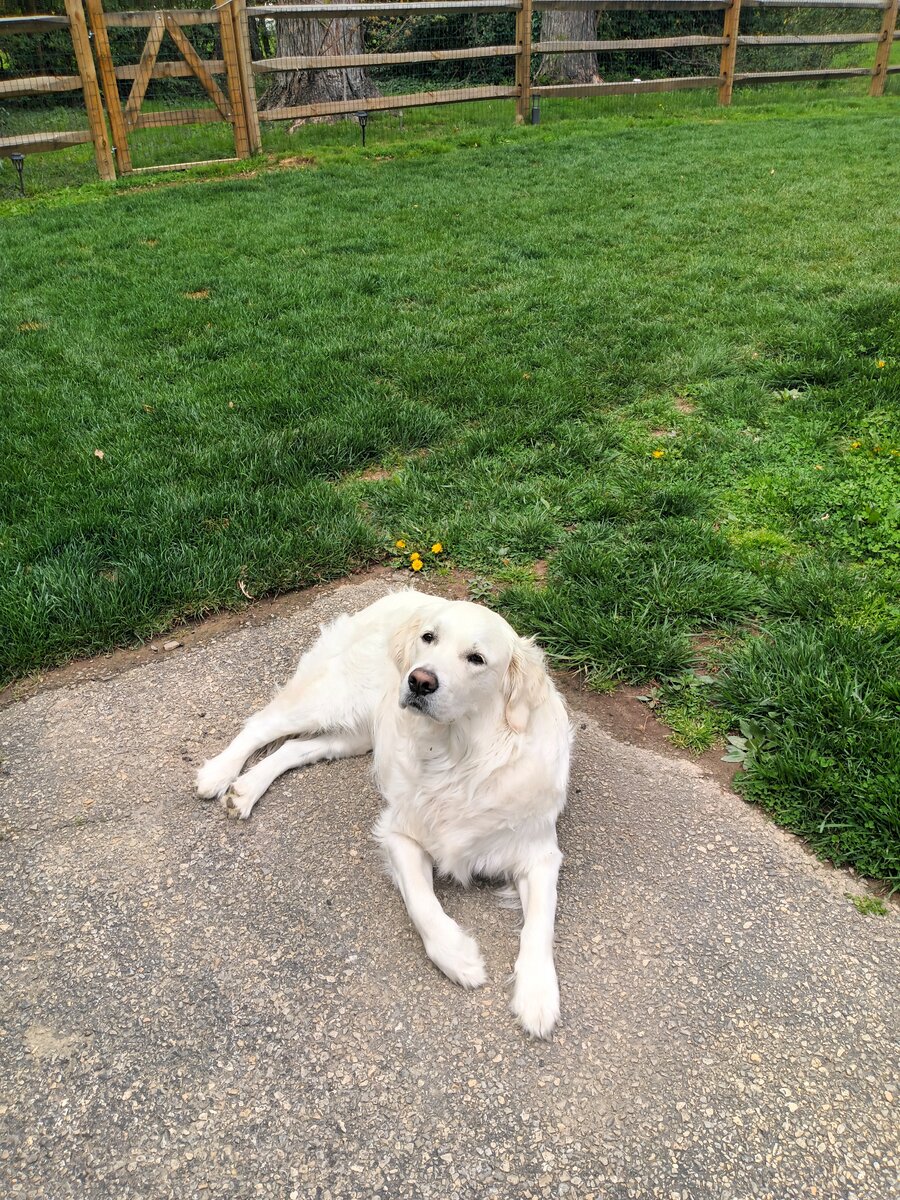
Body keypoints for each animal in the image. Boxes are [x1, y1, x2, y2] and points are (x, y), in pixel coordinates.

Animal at [196, 590, 572, 1037]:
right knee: (261, 726)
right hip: (332, 699)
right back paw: (218, 773)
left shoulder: (540, 854)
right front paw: (458, 956)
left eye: (477, 658)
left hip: (355, 734)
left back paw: (246, 789)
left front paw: (537, 996)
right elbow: (421, 903)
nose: (419, 680)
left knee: (295, 747)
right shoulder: (398, 833)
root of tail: (403, 594)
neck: (460, 758)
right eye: (429, 637)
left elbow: (541, 924)